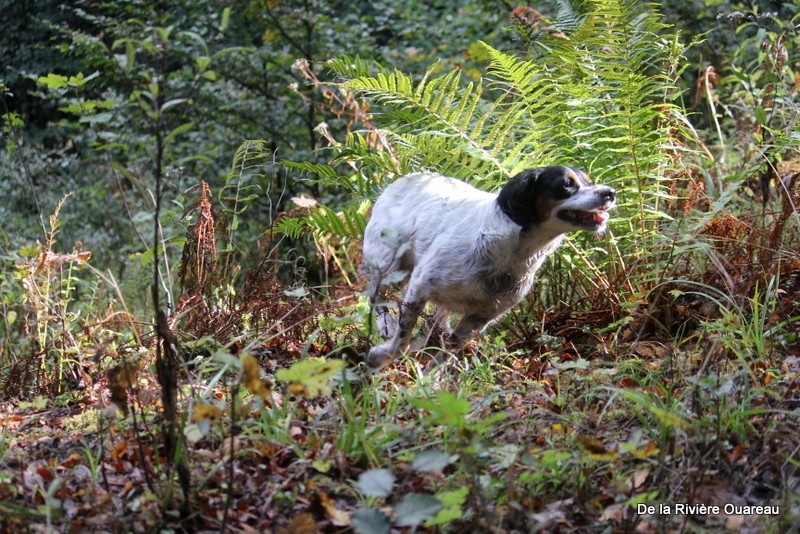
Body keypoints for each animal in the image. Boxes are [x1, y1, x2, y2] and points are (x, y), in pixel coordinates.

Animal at [360, 166, 616, 368]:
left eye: (589, 182)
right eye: (566, 184)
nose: (610, 193)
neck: (512, 252)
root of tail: (408, 176)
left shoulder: (480, 317)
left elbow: (447, 353)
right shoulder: (420, 287)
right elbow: (401, 340)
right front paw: (381, 354)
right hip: (388, 265)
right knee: (375, 296)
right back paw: (386, 325)